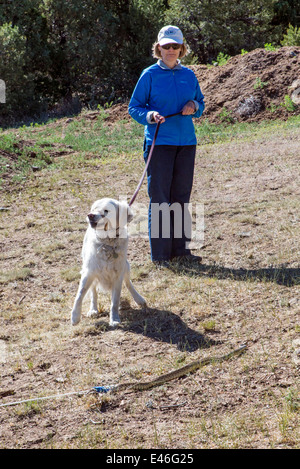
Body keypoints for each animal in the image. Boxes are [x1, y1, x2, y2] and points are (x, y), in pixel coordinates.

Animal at [70, 197, 145, 326]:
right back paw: (93, 310)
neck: (107, 243)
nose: (90, 215)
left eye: (106, 211)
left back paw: (139, 299)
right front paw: (75, 316)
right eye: (94, 209)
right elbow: (80, 295)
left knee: (128, 284)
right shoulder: (88, 272)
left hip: (126, 266)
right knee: (93, 292)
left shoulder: (118, 275)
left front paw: (114, 319)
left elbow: (114, 302)